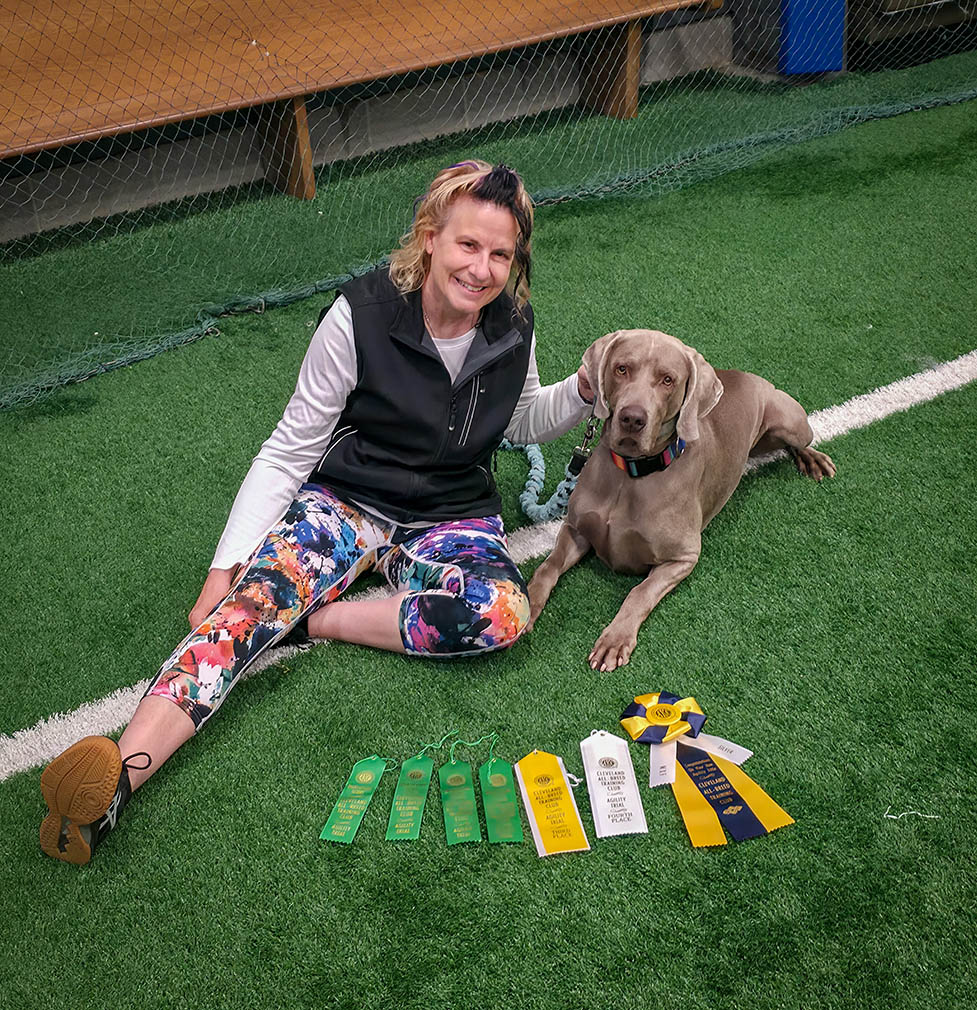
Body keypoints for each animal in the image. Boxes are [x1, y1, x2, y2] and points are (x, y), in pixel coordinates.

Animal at [527, 329, 835, 670]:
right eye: (622, 369)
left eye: (667, 380)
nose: (632, 418)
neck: (631, 476)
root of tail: (740, 374)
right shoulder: (576, 529)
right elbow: (547, 567)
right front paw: (529, 603)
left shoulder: (683, 557)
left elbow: (639, 592)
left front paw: (615, 639)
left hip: (791, 422)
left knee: (800, 441)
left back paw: (813, 458)